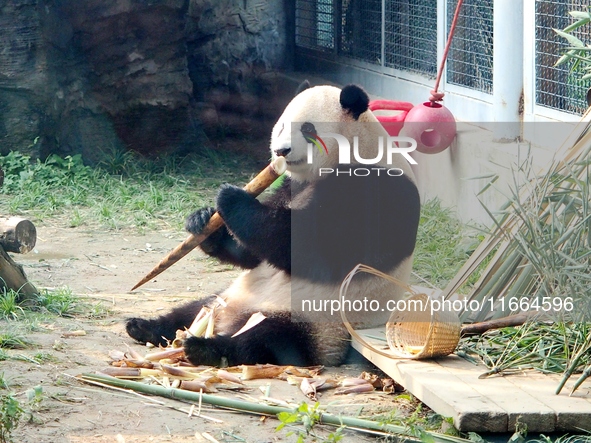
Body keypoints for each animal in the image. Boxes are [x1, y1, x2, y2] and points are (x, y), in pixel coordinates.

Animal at [126, 83, 420, 368]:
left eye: (308, 129)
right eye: (280, 127)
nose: (281, 151)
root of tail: (230, 318)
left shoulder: (375, 189)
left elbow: (307, 248)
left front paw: (231, 197)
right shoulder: (290, 185)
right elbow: (254, 255)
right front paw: (202, 220)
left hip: (317, 320)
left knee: (269, 338)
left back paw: (206, 348)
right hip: (228, 296)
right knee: (193, 309)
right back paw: (145, 327)